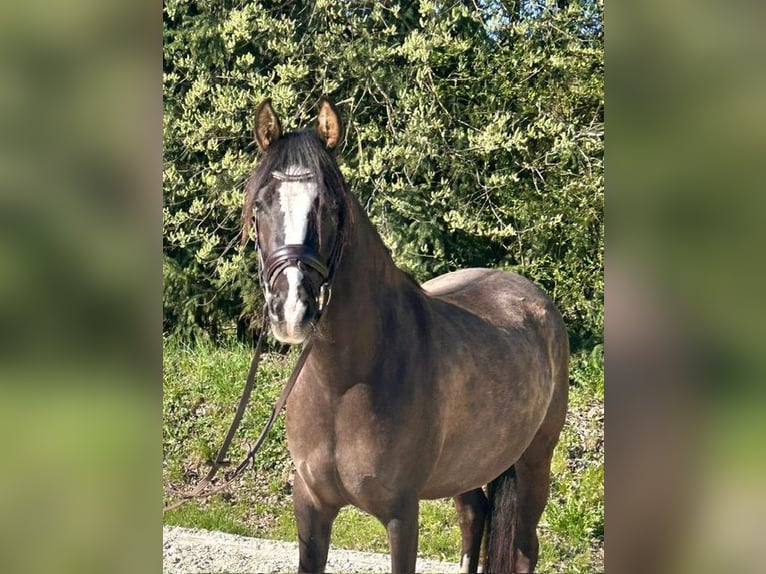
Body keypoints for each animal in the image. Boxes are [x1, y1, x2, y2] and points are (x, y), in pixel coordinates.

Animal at [241, 97, 569, 573]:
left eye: (330, 206)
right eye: (260, 206)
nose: (292, 310)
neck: (343, 386)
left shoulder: (401, 514)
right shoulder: (311, 504)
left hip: (535, 460)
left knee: (525, 548)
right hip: (469, 465)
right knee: (475, 515)